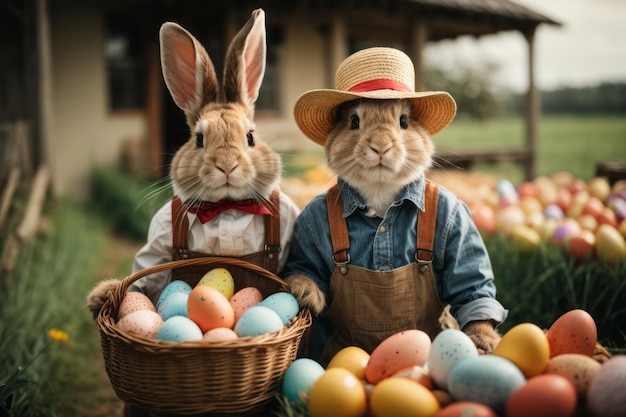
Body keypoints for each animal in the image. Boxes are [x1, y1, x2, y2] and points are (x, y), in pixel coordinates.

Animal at [282, 46, 508, 364]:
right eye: (354, 122)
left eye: (403, 121)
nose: (380, 147)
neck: (381, 198)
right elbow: (306, 268)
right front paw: (306, 293)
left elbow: (472, 289)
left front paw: (483, 341)